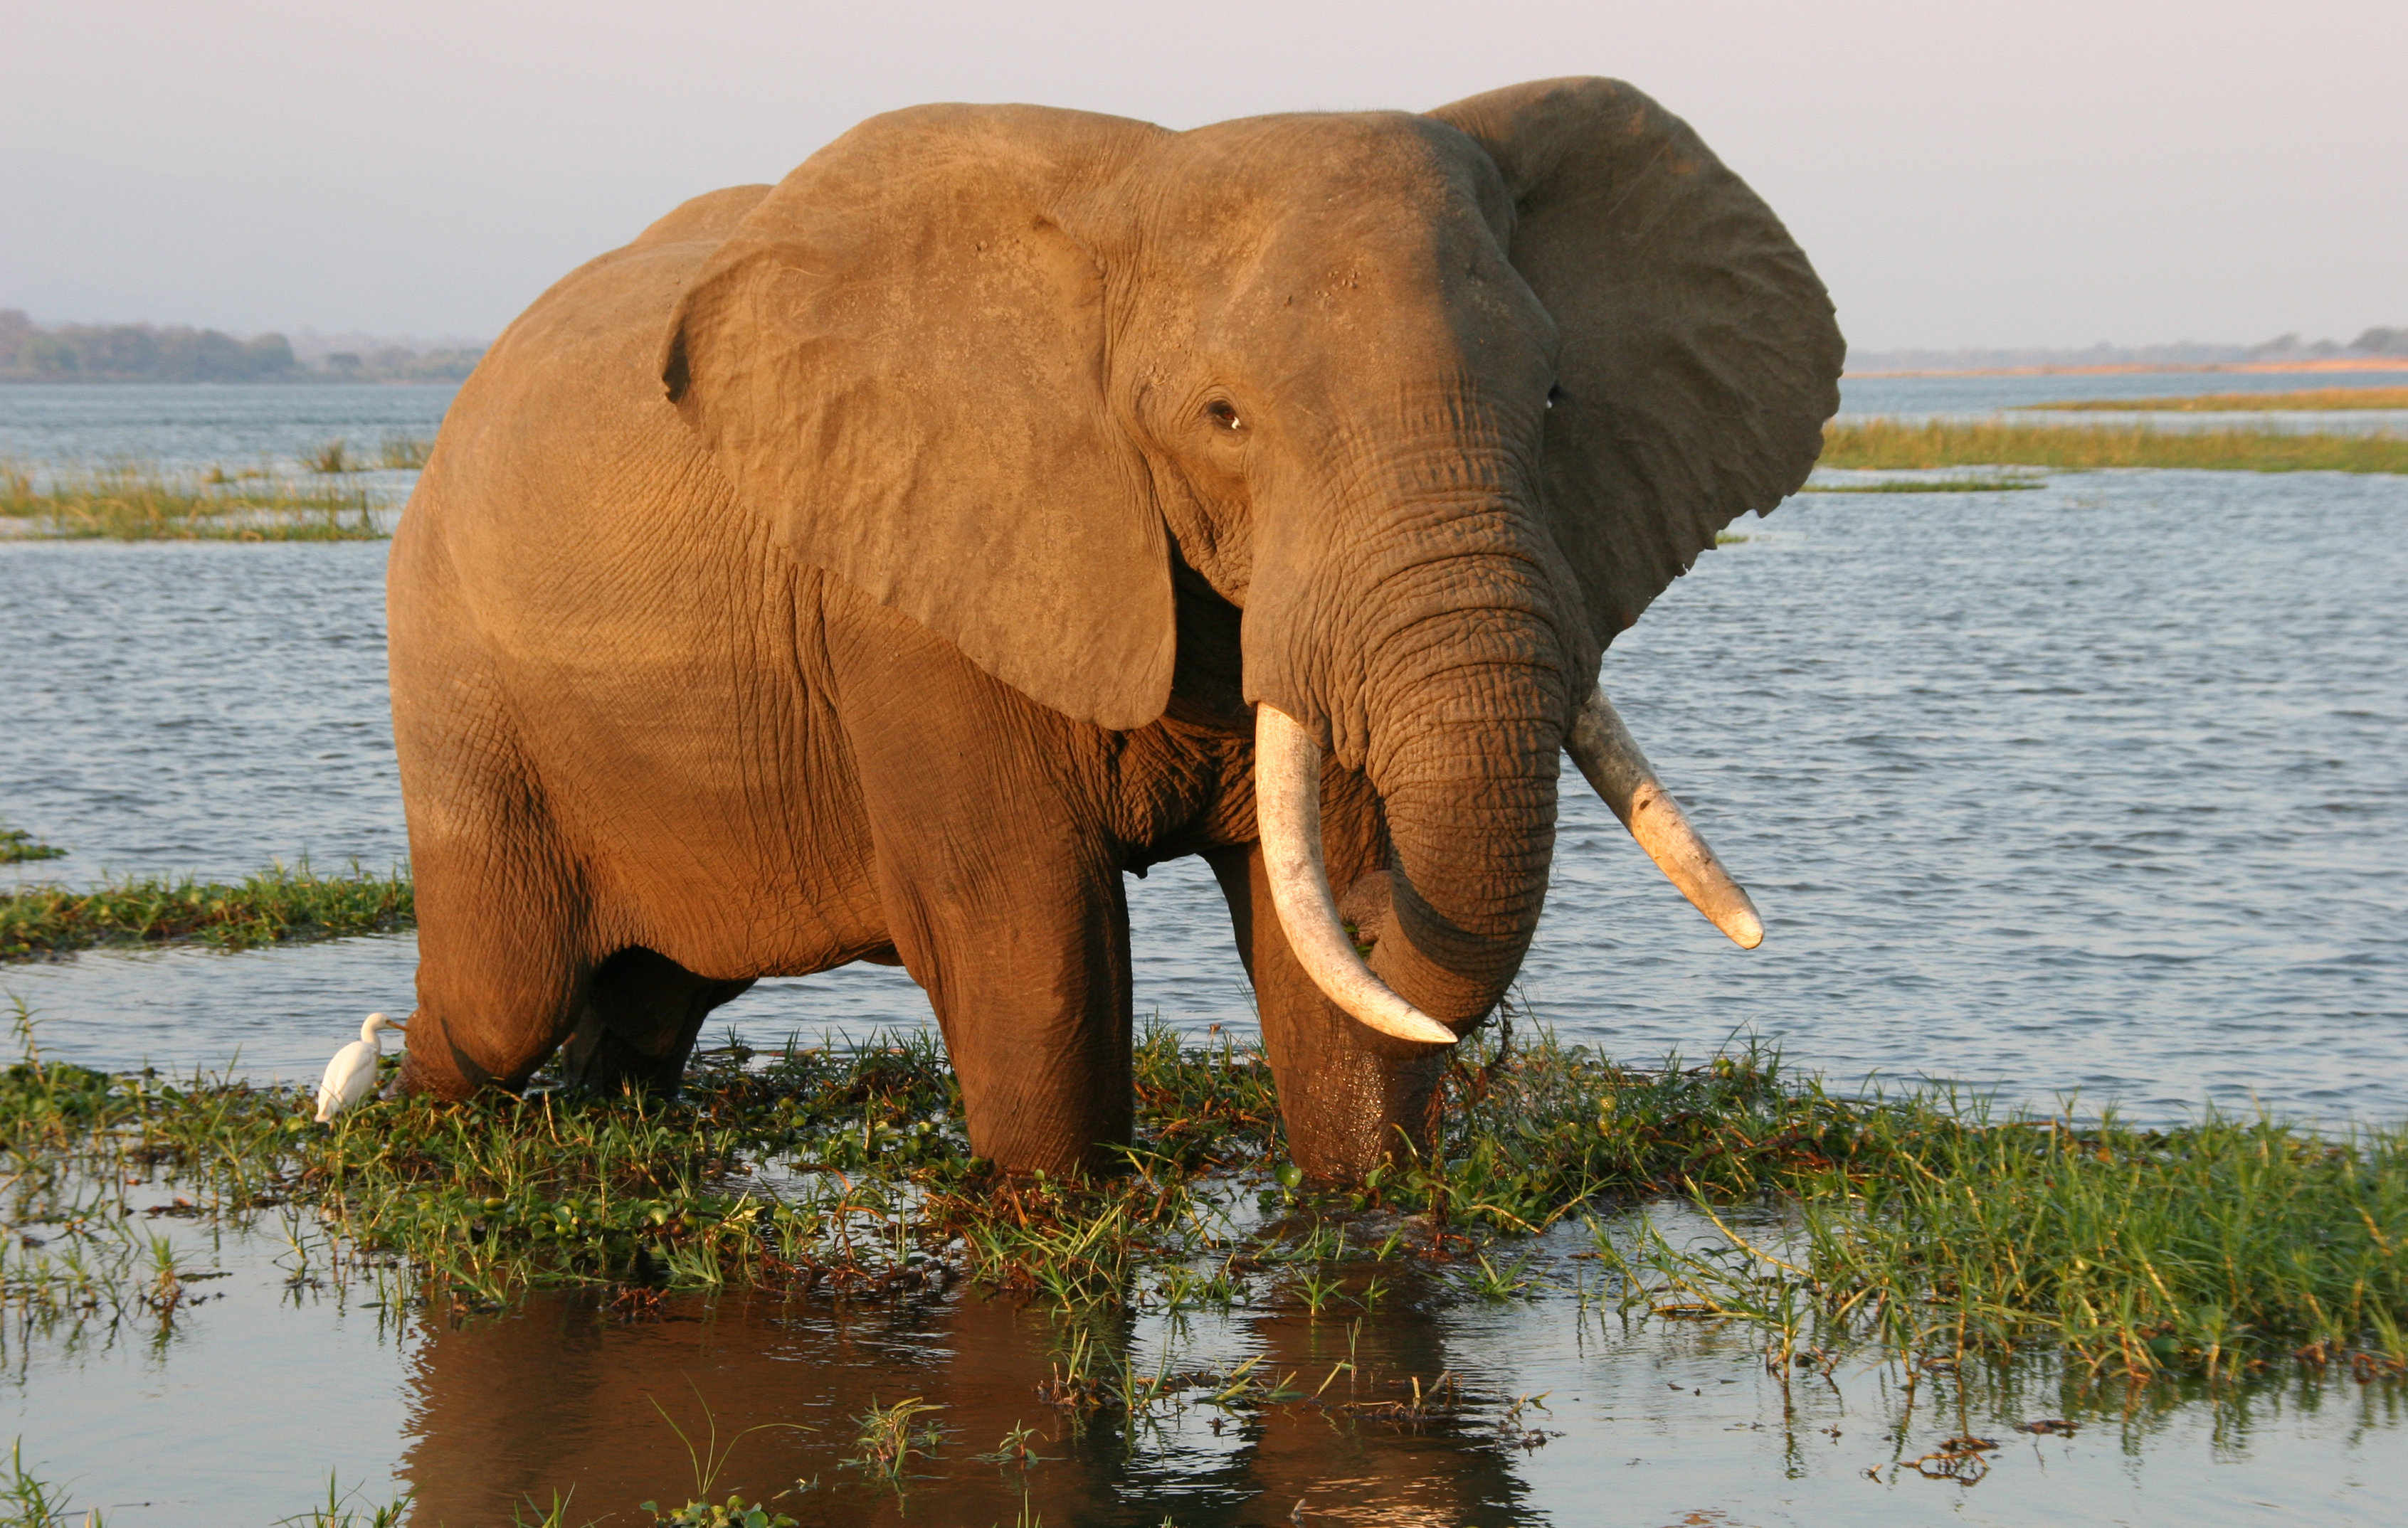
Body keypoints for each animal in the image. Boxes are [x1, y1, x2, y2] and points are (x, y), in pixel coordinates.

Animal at [385, 74, 1829, 1184]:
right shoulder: (917, 584)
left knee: (647, 998)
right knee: (498, 1003)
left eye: (1552, 396)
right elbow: (1029, 936)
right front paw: (1049, 1202)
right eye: (1222, 418)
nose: (1378, 911)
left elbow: (1315, 975)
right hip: (451, 661)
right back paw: (382, 1094)